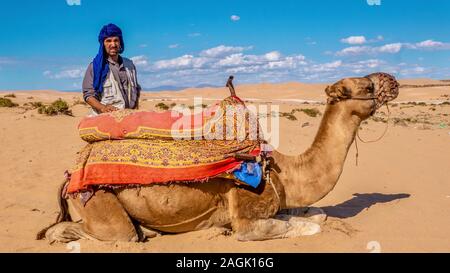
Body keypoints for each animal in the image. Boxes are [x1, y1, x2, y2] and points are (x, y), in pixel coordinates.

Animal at [37, 72, 400, 242]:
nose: (393, 80)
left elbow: (319, 214)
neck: (284, 172)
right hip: (98, 202)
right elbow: (310, 227)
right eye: (366, 87)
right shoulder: (248, 217)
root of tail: (70, 175)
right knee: (91, 232)